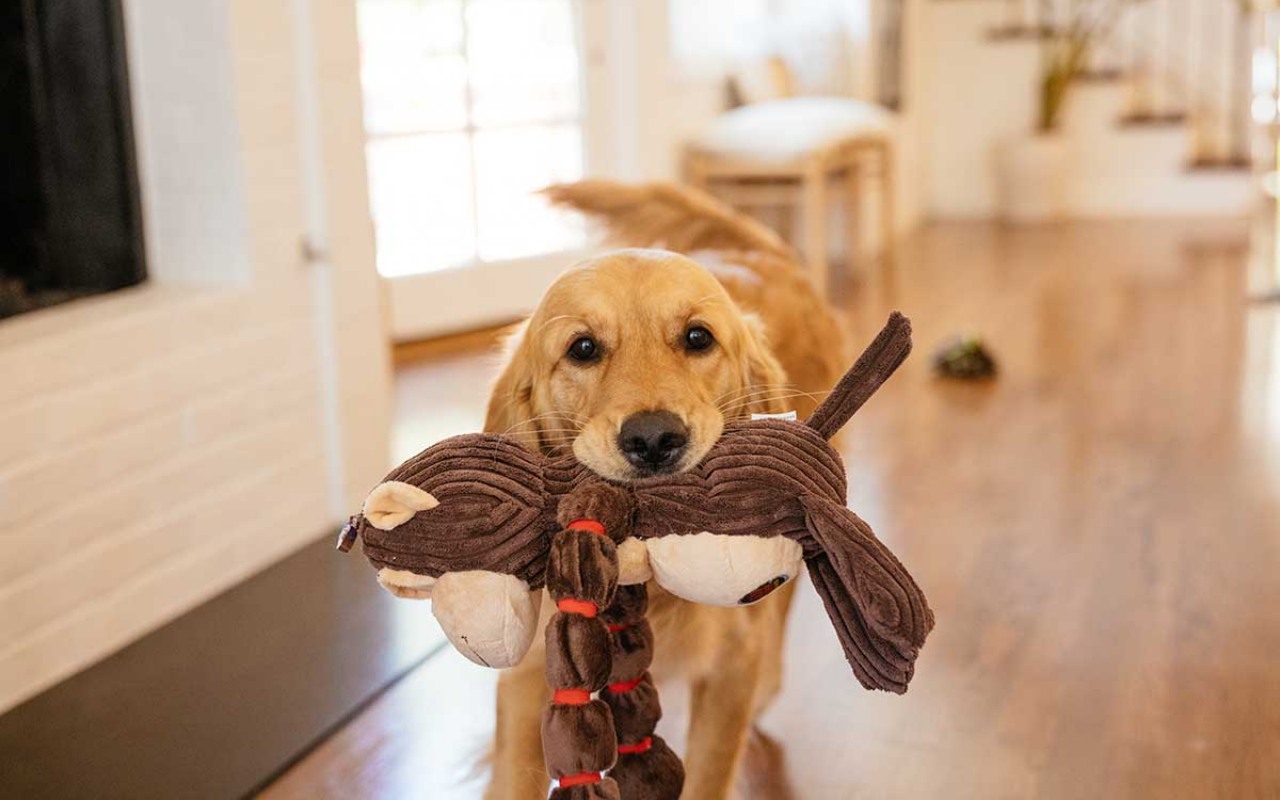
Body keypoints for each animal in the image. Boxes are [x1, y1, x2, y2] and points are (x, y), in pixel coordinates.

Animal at [483, 180, 844, 798]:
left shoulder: (731, 669)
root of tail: (763, 251)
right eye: (582, 348)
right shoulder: (527, 680)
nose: (653, 439)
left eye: (698, 338)